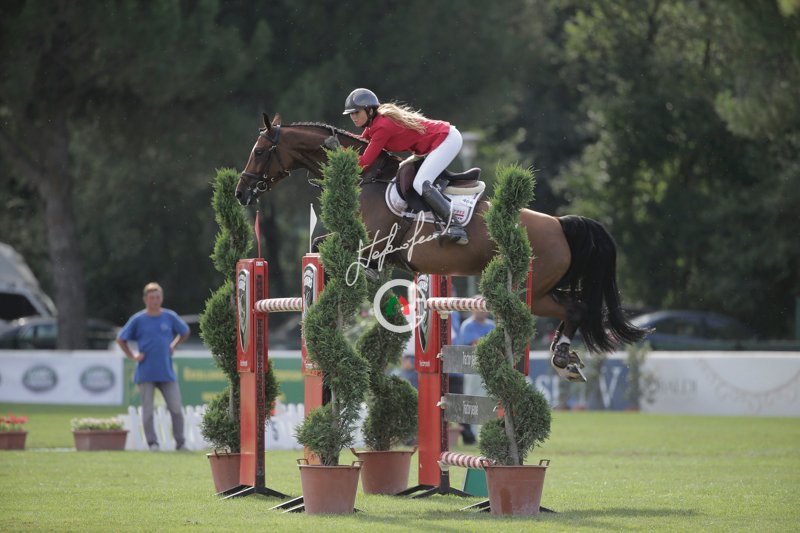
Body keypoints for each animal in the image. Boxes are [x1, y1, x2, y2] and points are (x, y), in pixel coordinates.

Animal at [236, 114, 647, 379]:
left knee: (573, 308)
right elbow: (323, 244)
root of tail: (560, 225)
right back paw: (567, 358)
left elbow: (331, 247)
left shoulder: (373, 242)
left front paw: (366, 275)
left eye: (259, 151)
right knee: (576, 308)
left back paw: (562, 357)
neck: (366, 179)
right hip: (545, 288)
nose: (242, 193)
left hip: (531, 287)